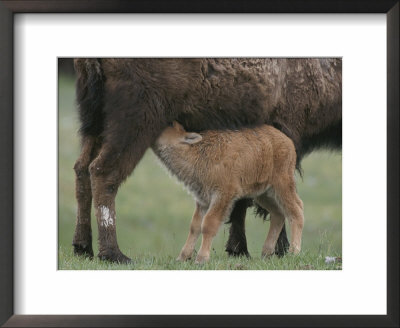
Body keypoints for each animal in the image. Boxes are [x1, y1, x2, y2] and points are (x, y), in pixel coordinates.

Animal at [153, 121, 304, 262]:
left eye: (167, 128)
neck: (197, 152)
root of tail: (287, 141)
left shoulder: (223, 196)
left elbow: (208, 224)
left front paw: (201, 259)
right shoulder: (203, 200)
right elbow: (195, 226)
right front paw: (182, 257)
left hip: (282, 186)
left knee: (296, 210)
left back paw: (293, 252)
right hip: (263, 194)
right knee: (278, 213)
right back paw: (266, 253)